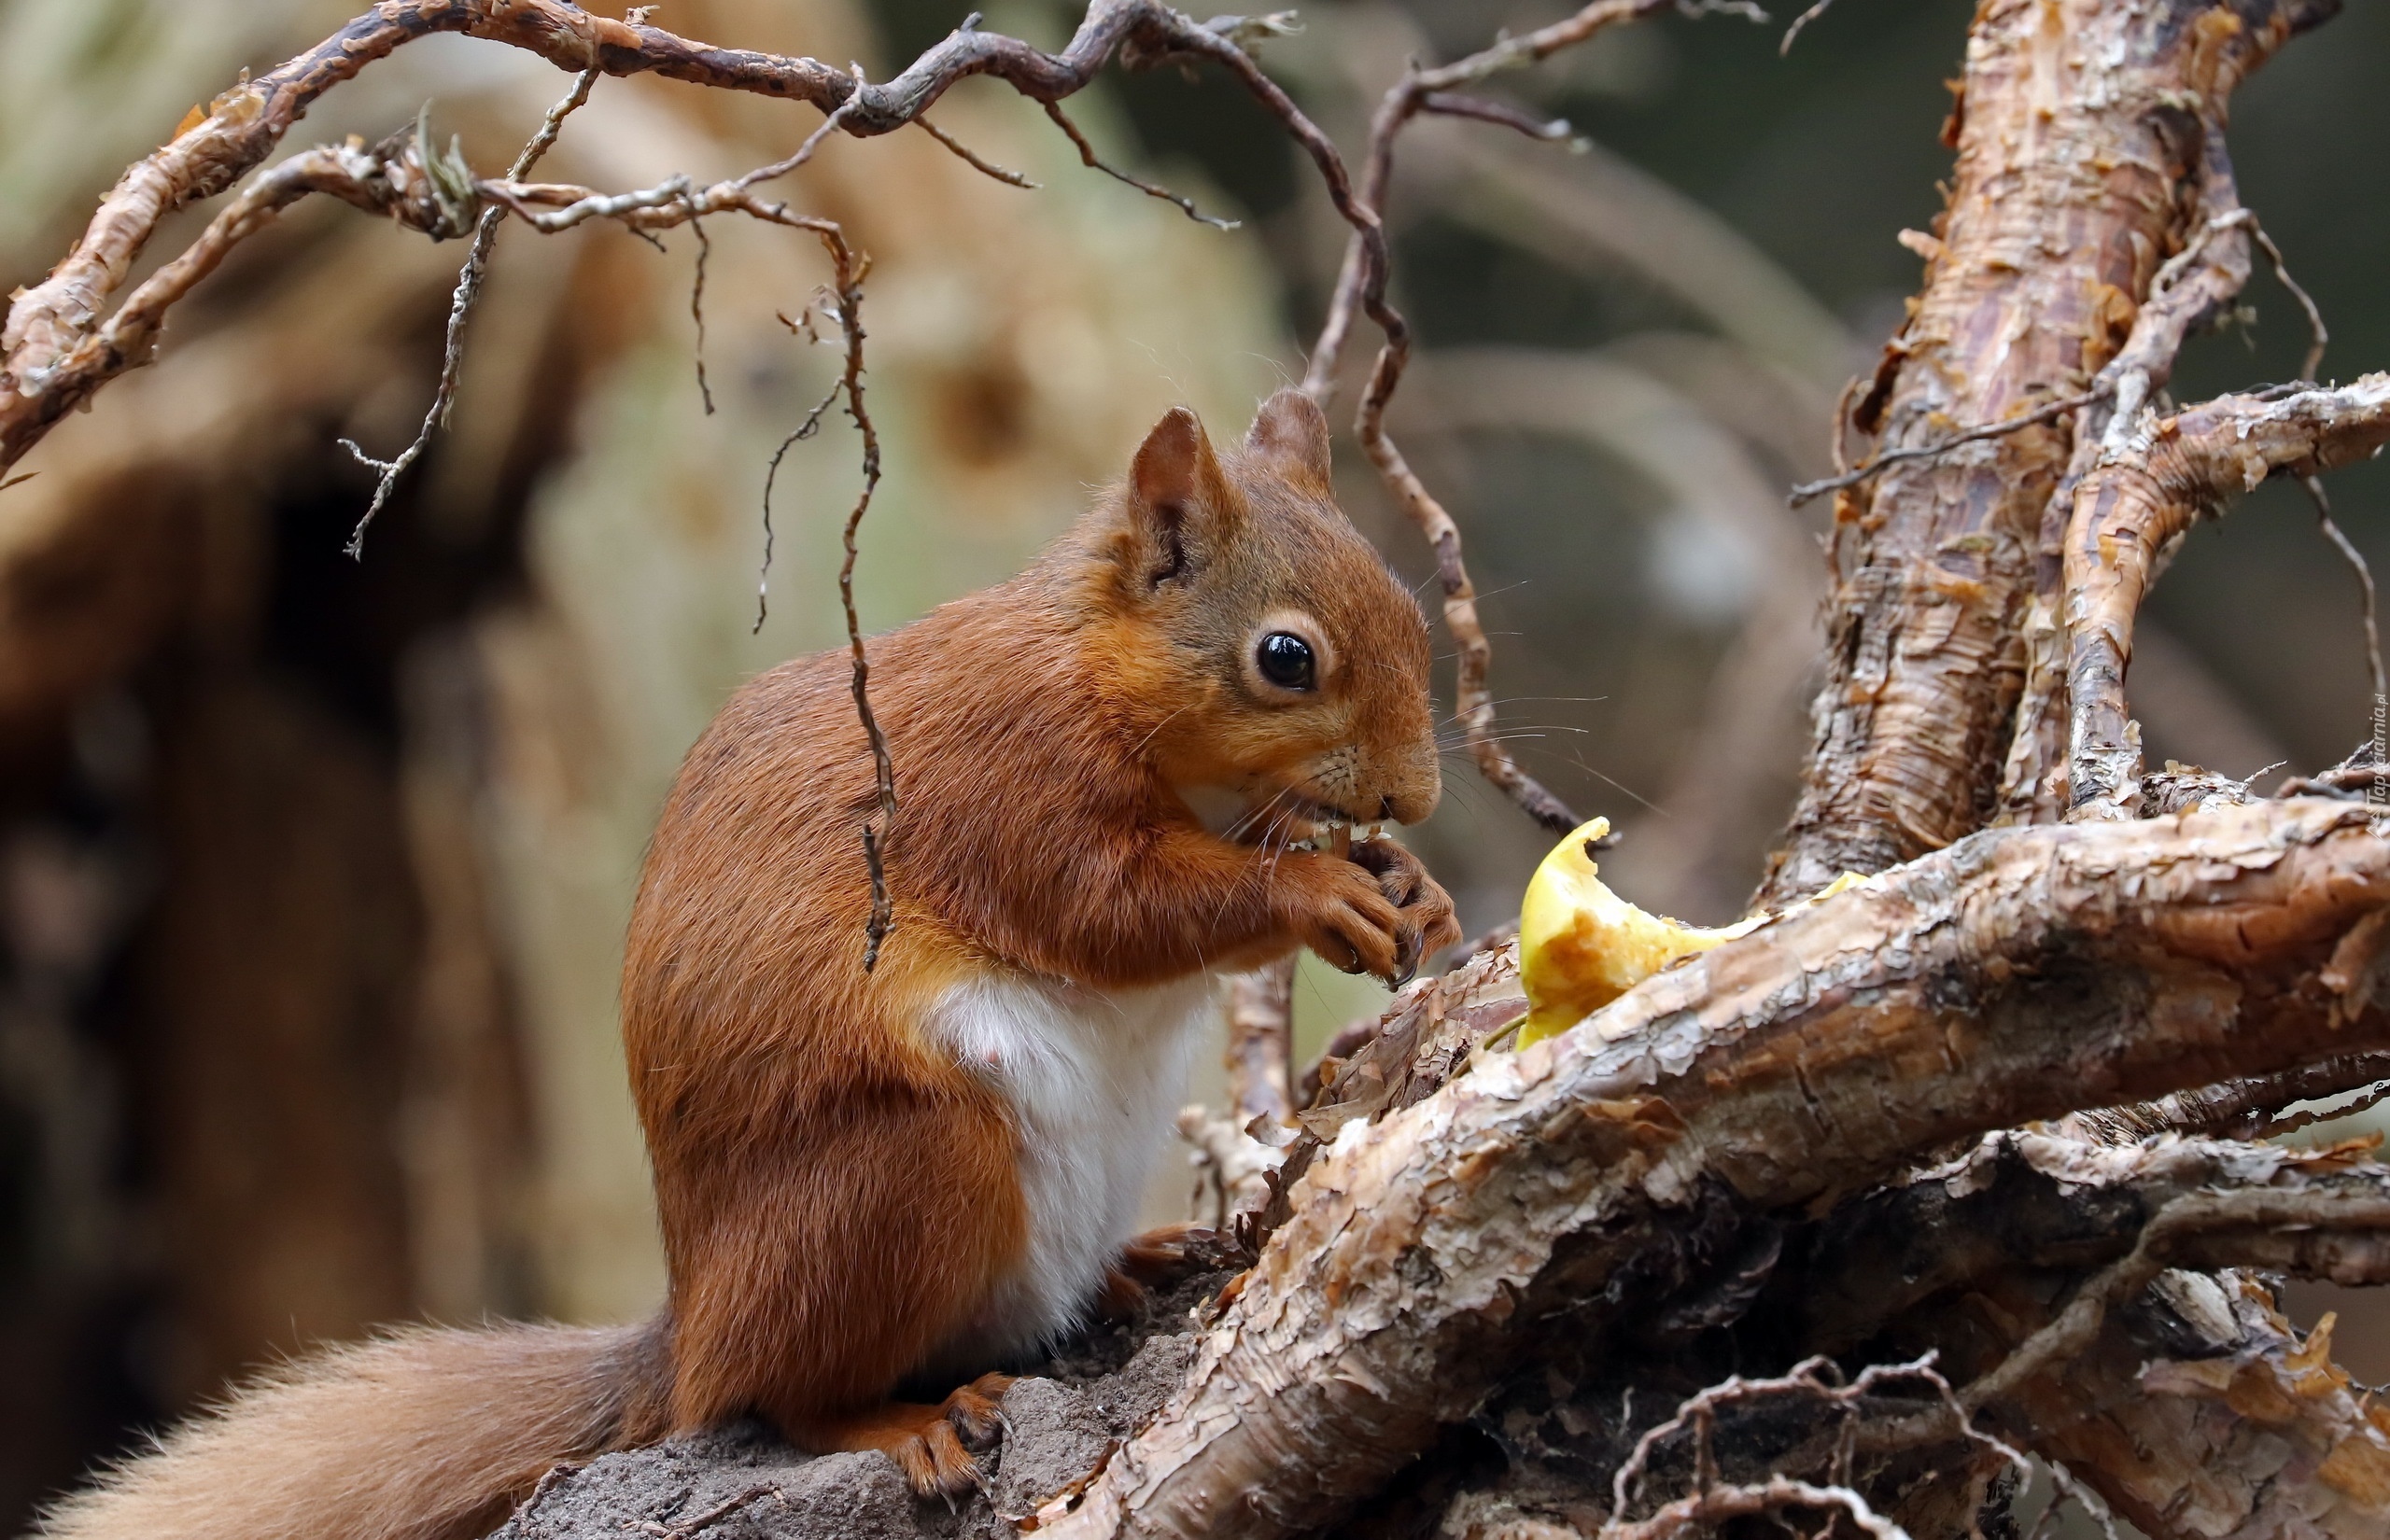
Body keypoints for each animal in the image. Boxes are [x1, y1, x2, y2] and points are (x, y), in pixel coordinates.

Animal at [42, 391, 1453, 1537]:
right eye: (1285, 658)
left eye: (1406, 604)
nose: (1417, 797)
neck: (1098, 670)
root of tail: (690, 1330)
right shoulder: (1008, 786)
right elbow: (1115, 909)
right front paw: (1317, 889)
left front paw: (1413, 890)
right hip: (904, 1170)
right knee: (776, 1395)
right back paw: (901, 1422)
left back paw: (1134, 1261)